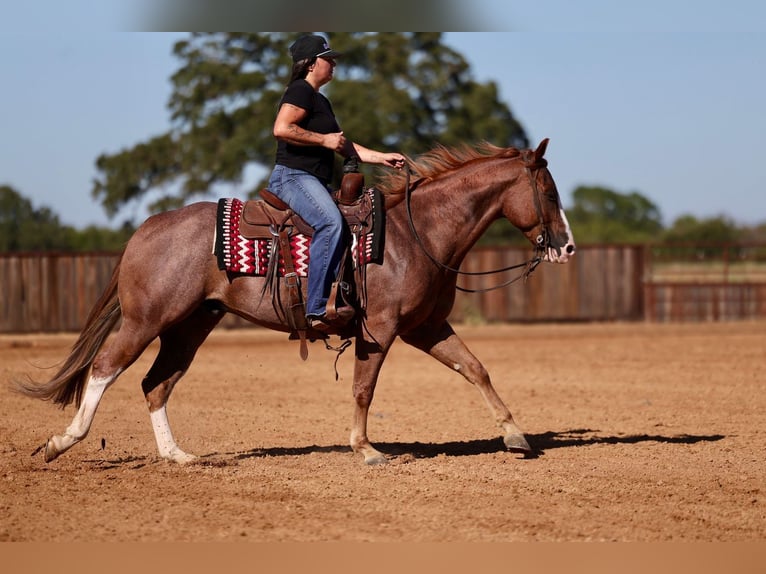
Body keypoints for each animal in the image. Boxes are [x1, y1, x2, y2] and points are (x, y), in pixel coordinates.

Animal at [16, 138, 575, 466]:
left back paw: (179, 456)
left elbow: (475, 368)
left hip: (190, 325)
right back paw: (62, 442)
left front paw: (516, 437)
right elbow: (364, 389)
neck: (416, 235)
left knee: (156, 383)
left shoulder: (426, 328)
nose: (566, 247)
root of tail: (146, 230)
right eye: (548, 192)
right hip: (147, 319)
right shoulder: (380, 329)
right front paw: (366, 449)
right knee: (105, 368)